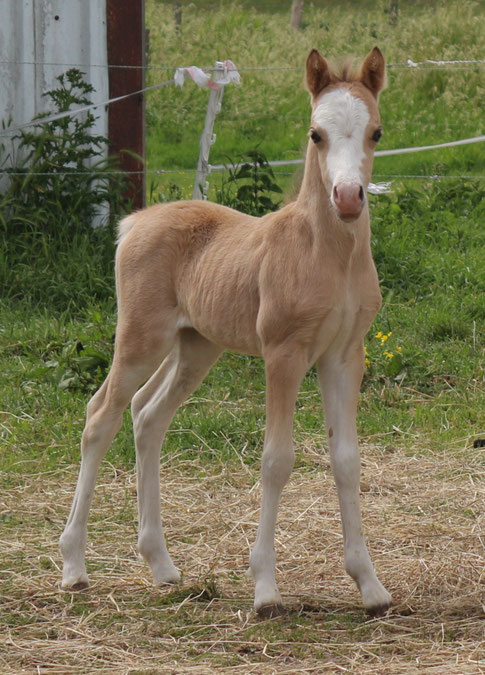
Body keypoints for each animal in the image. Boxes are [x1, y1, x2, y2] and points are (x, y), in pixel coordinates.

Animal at [60, 47, 392, 618]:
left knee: (148, 414)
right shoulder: (284, 353)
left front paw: (369, 586)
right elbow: (277, 460)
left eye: (375, 131)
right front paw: (265, 591)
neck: (328, 256)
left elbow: (347, 460)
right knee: (101, 414)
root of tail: (134, 222)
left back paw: (162, 566)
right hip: (141, 338)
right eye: (315, 134)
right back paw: (75, 566)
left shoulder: (345, 355)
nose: (348, 198)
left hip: (196, 345)